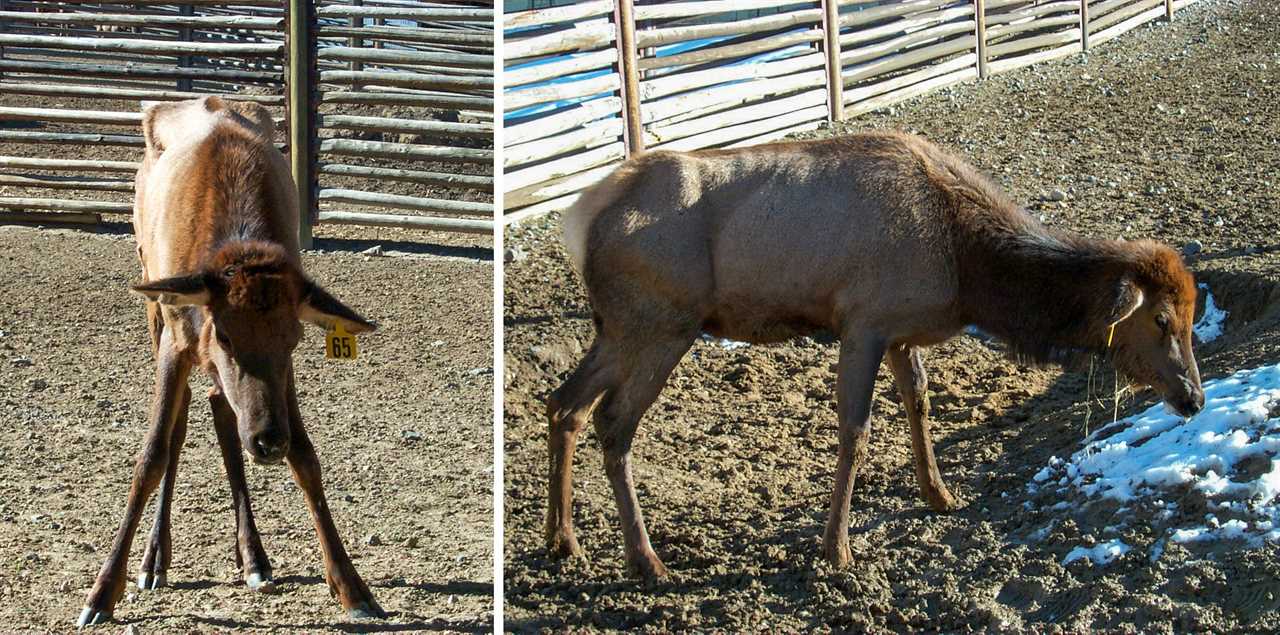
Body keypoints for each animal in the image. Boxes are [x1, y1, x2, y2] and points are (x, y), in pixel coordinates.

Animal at [77, 97, 378, 624]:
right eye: (225, 334)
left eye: (294, 338)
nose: (268, 441)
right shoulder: (178, 336)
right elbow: (151, 455)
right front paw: (102, 593)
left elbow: (307, 456)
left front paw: (352, 586)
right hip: (153, 306)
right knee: (182, 422)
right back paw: (155, 560)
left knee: (220, 409)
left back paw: (253, 556)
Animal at [545, 131, 1203, 578]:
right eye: (1162, 319)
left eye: (1194, 318)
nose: (1193, 397)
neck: (968, 269)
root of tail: (579, 220)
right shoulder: (861, 321)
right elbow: (856, 431)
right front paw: (836, 548)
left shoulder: (900, 332)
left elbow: (920, 405)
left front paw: (940, 495)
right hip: (662, 324)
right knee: (613, 422)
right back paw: (645, 559)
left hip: (617, 329)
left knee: (564, 403)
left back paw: (562, 540)